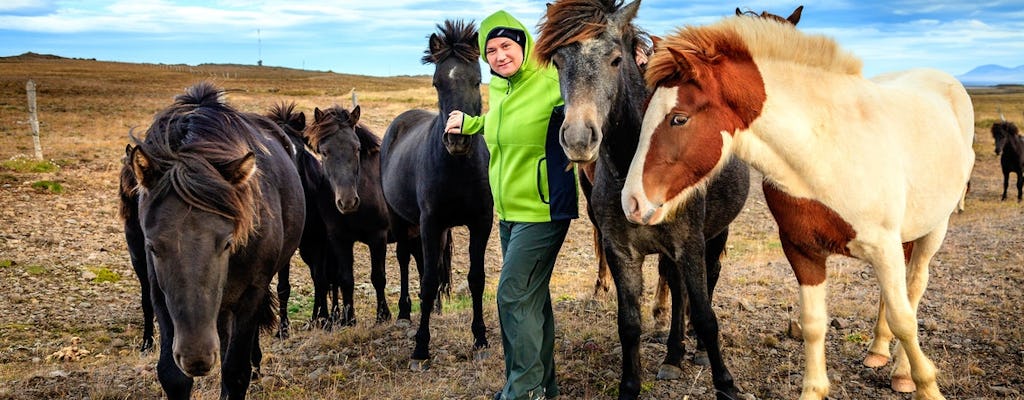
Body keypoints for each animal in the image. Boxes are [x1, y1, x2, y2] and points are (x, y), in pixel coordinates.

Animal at [128, 82, 303, 400]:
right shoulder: (161, 294)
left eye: (227, 243)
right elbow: (173, 375)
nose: (196, 357)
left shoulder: (250, 293)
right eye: (152, 246)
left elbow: (235, 373)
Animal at [382, 18, 493, 370]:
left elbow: (475, 278)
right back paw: (405, 313)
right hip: (401, 219)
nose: (457, 140)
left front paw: (480, 339)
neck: (457, 168)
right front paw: (421, 347)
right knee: (405, 260)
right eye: (436, 84)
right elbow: (429, 281)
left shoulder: (480, 222)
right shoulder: (430, 222)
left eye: (477, 81)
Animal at [536, 1, 753, 398]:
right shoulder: (622, 252)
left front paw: (726, 384)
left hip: (716, 234)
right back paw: (672, 356)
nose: (578, 138)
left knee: (708, 279)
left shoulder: (689, 244)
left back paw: (696, 351)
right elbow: (629, 324)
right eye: (558, 62)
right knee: (677, 289)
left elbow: (706, 315)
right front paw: (630, 384)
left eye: (615, 60)